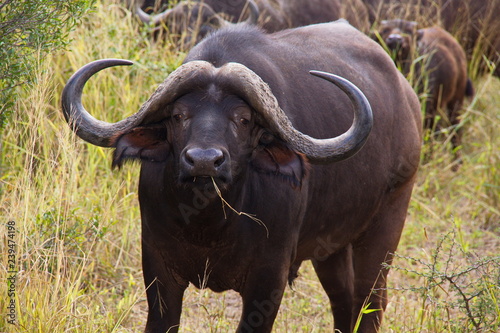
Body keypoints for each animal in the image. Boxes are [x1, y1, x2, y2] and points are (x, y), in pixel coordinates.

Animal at [61, 21, 422, 332]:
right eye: (178, 115)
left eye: (243, 119)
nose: (204, 161)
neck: (208, 225)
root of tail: (407, 99)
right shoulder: (157, 266)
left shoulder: (269, 279)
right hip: (331, 246)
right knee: (343, 299)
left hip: (388, 221)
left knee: (369, 300)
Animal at [376, 19, 474, 156]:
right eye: (385, 30)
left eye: (408, 31)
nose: (395, 39)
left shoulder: (427, 107)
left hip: (456, 100)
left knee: (455, 130)